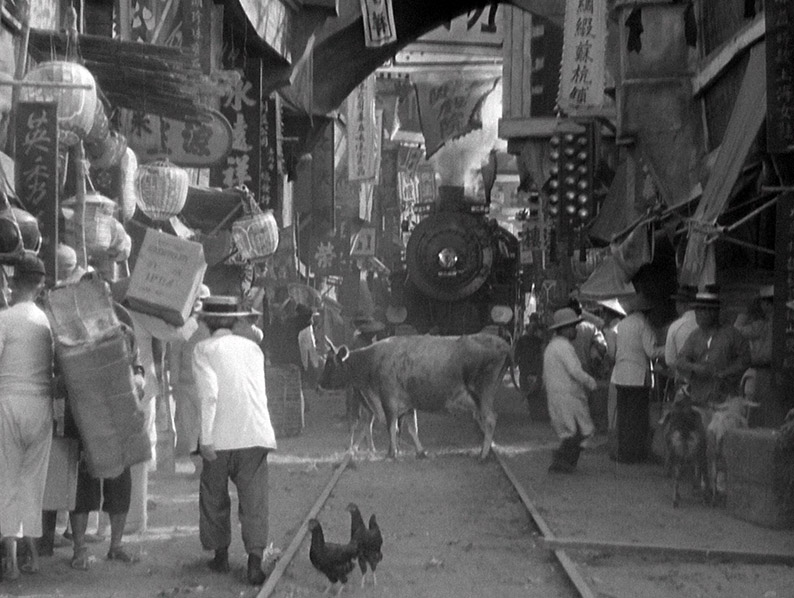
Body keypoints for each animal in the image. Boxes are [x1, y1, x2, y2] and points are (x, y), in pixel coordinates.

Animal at [318, 332, 510, 460]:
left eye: (330, 363)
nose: (319, 383)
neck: (372, 361)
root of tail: (503, 344)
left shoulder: (388, 401)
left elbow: (392, 427)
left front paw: (391, 453)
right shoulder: (408, 404)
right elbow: (412, 428)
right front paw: (420, 451)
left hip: (482, 394)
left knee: (490, 419)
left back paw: (483, 454)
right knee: (485, 419)